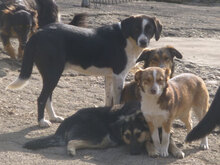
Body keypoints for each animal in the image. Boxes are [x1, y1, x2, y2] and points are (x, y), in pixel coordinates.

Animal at [6, 14, 162, 127]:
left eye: (149, 29)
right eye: (136, 29)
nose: (143, 42)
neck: (127, 37)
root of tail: (38, 33)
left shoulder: (109, 76)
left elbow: (108, 98)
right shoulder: (119, 76)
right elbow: (117, 100)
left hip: (51, 75)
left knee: (48, 97)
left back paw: (54, 117)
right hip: (53, 74)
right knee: (41, 98)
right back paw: (42, 122)